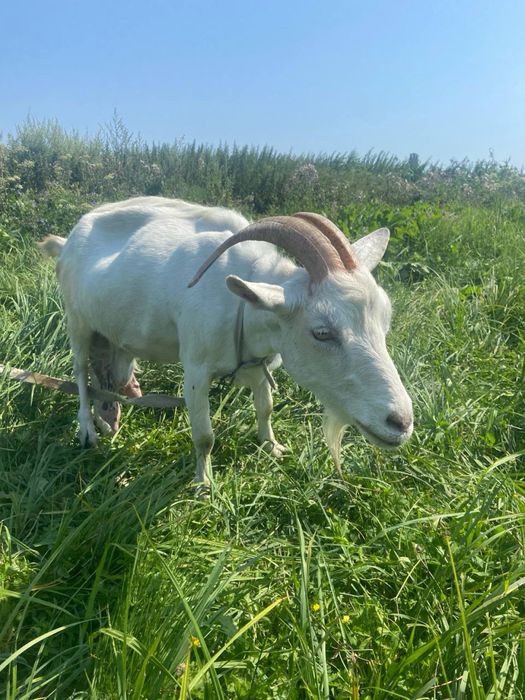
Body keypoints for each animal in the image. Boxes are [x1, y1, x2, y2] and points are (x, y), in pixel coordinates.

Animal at [38, 196, 413, 491]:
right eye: (322, 332)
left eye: (385, 320)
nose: (401, 422)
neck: (241, 305)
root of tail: (67, 240)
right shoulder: (196, 370)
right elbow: (204, 436)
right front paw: (204, 485)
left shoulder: (259, 363)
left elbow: (265, 408)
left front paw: (272, 447)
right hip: (77, 320)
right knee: (81, 371)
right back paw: (88, 430)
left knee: (111, 366)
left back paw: (115, 410)